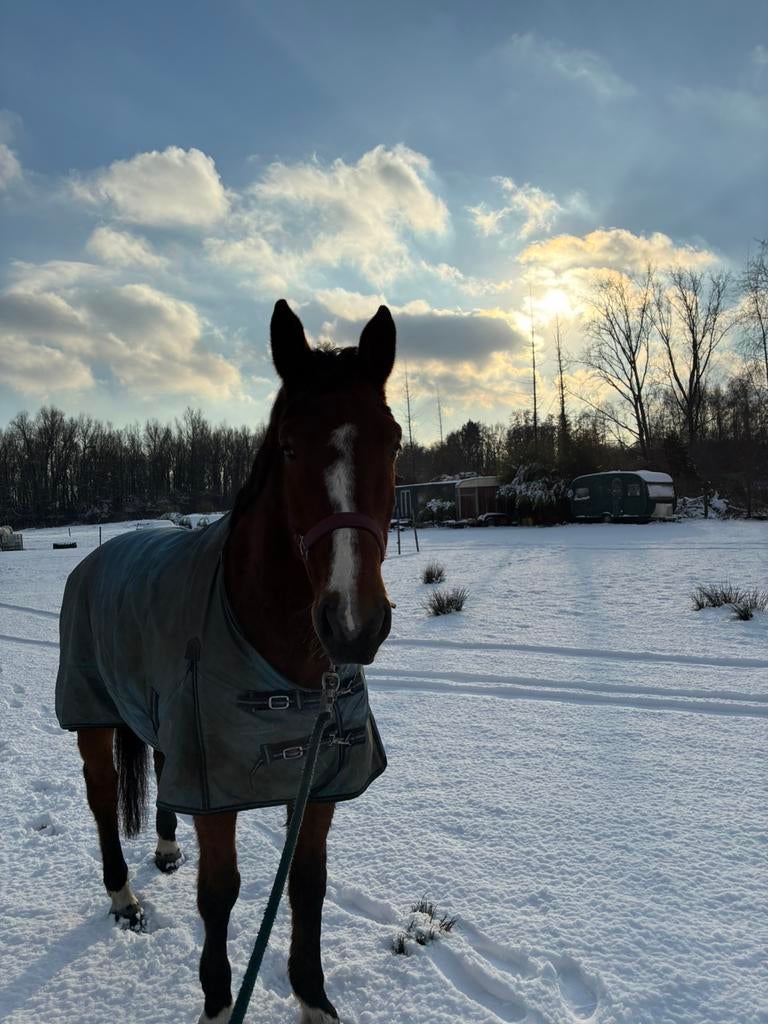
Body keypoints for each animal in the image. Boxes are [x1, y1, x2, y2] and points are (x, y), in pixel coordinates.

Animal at [55, 299, 401, 1023]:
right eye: (290, 446)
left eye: (393, 441)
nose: (354, 624)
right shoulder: (215, 794)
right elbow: (219, 893)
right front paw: (218, 1002)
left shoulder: (318, 783)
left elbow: (307, 886)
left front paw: (312, 996)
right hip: (92, 716)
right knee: (101, 798)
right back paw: (123, 896)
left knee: (160, 775)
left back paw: (163, 848)